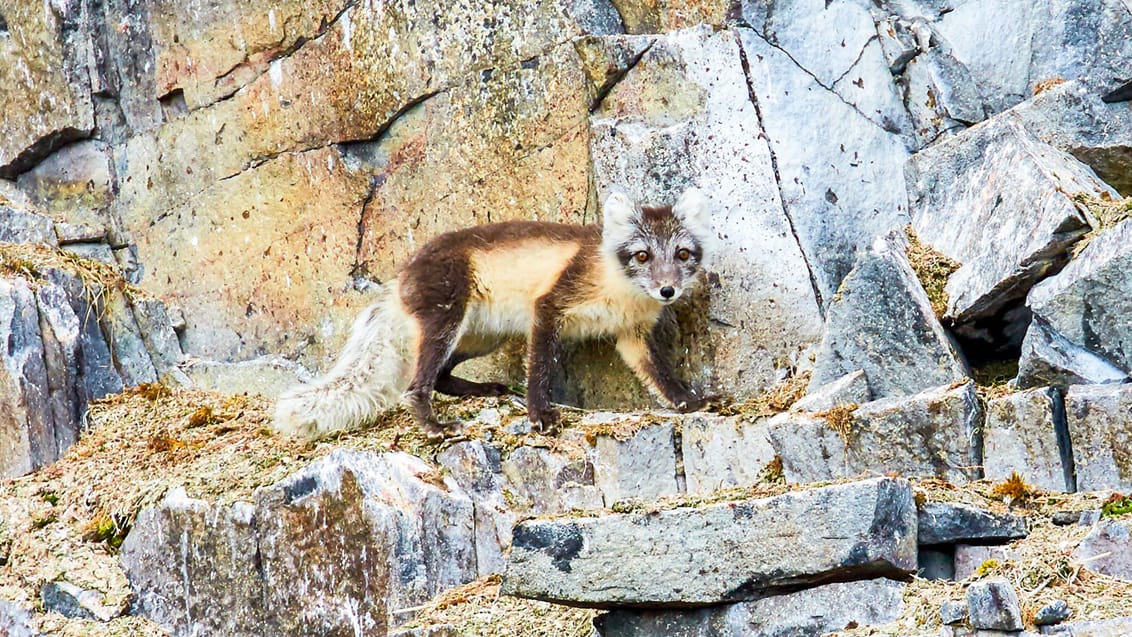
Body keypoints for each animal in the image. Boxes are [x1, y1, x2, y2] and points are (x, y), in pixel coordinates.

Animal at [273, 186, 710, 441]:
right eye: (643, 255)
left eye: (682, 254)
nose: (668, 290)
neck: (619, 287)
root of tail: (398, 279)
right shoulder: (548, 308)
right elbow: (540, 370)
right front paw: (539, 414)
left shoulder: (633, 336)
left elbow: (661, 375)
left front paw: (689, 402)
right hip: (446, 320)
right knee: (416, 386)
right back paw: (436, 428)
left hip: (483, 336)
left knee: (442, 377)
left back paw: (485, 390)